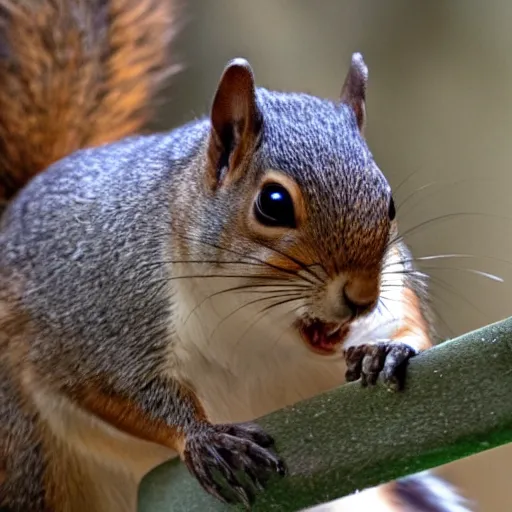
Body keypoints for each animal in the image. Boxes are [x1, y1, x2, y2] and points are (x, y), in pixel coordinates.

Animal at [0, 1, 472, 512]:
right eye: (273, 203)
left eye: (390, 204)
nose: (362, 297)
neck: (255, 321)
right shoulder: (103, 313)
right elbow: (111, 387)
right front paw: (204, 437)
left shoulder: (394, 291)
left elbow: (411, 329)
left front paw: (384, 350)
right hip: (27, 455)